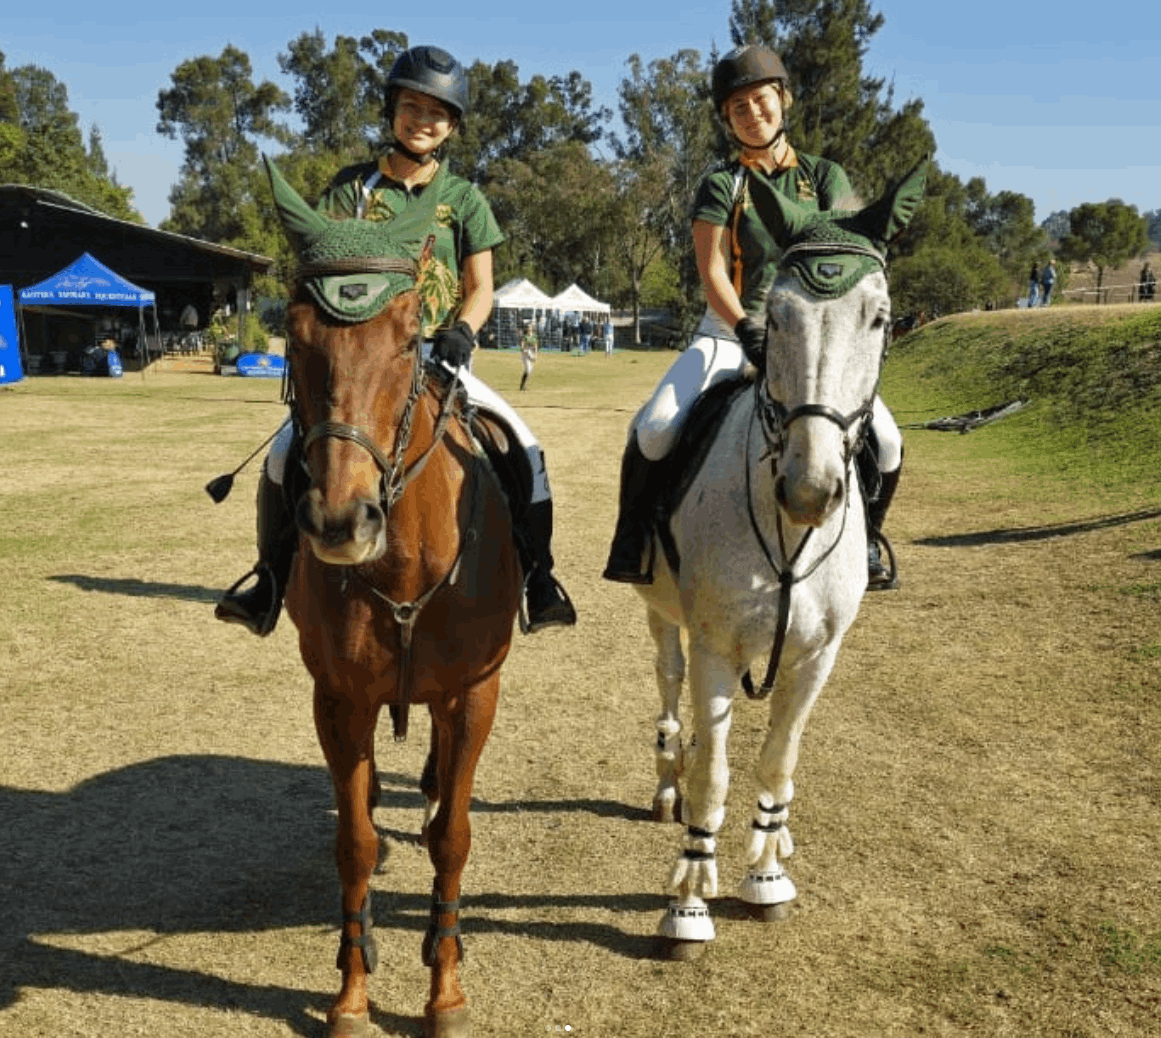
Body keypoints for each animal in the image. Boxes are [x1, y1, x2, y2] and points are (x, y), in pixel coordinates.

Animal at [265, 158, 522, 1037]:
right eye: (293, 335)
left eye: (411, 339)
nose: (342, 520)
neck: (406, 566)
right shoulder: (338, 698)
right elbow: (355, 845)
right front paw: (351, 993)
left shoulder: (475, 693)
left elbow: (452, 840)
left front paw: (444, 990)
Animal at [634, 161, 927, 957]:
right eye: (782, 317)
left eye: (878, 317)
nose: (810, 491)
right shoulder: (713, 644)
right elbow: (712, 776)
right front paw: (689, 904)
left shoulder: (817, 654)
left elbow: (777, 760)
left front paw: (766, 871)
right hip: (661, 613)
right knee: (669, 692)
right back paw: (666, 784)